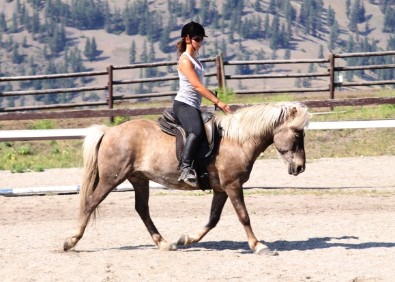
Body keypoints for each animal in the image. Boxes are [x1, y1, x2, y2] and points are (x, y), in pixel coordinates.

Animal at [63, 102, 310, 256]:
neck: (237, 141)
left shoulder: (221, 189)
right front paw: (259, 246)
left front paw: (186, 239)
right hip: (111, 178)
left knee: (142, 209)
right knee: (91, 202)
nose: (300, 167)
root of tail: (109, 131)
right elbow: (244, 216)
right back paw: (70, 241)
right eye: (297, 134)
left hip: (139, 179)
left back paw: (164, 243)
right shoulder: (233, 185)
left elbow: (213, 219)